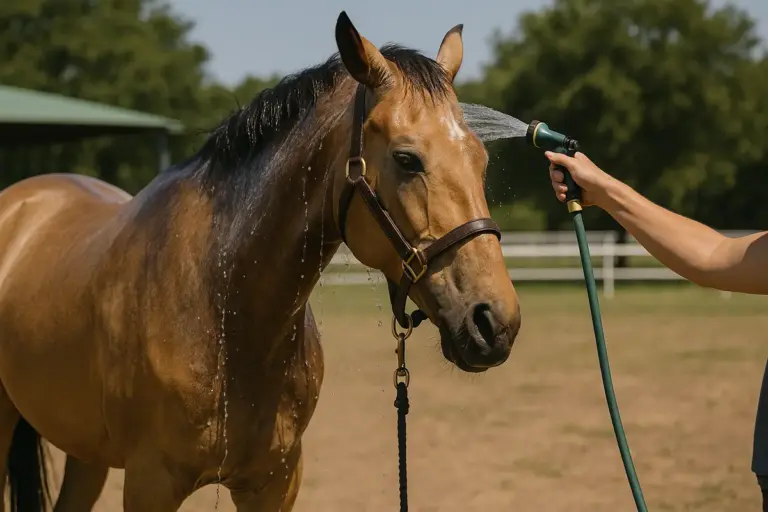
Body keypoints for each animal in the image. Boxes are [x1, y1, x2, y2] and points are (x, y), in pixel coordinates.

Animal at [0, 11, 522, 511]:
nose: (495, 322)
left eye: (480, 159)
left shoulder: (275, 481)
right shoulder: (150, 484)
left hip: (86, 451)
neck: (223, 304)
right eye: (407, 158)